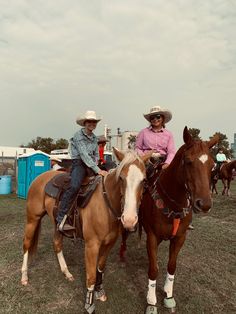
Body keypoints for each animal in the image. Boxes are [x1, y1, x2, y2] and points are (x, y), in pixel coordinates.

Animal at [20, 148, 151, 314]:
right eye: (121, 178)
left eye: (144, 180)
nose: (129, 220)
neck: (105, 205)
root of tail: (39, 178)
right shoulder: (91, 246)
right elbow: (91, 276)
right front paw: (89, 304)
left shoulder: (109, 244)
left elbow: (100, 269)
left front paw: (100, 292)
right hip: (32, 219)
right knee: (26, 244)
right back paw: (24, 276)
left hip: (56, 224)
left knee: (57, 244)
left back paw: (66, 272)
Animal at [121, 126, 219, 312]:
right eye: (188, 161)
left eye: (212, 165)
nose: (204, 204)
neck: (173, 203)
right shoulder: (152, 237)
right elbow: (153, 269)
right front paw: (151, 302)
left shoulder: (180, 238)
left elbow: (171, 266)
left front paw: (168, 295)